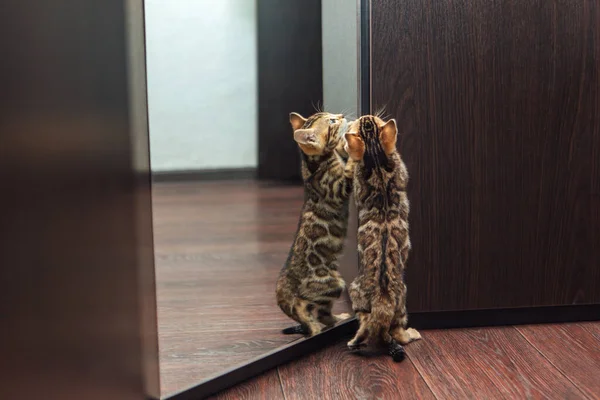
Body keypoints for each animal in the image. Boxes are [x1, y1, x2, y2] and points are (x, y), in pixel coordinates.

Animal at [276, 111, 356, 336]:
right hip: (332, 283)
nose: (341, 115)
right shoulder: (338, 187)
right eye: (331, 121)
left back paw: (337, 318)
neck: (314, 163)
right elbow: (349, 169)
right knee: (303, 306)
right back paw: (314, 326)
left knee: (322, 313)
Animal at [342, 114, 422, 360]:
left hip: (361, 294)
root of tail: (382, 301)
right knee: (395, 332)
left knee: (371, 325)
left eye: (371, 120)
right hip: (399, 304)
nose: (365, 116)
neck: (376, 157)